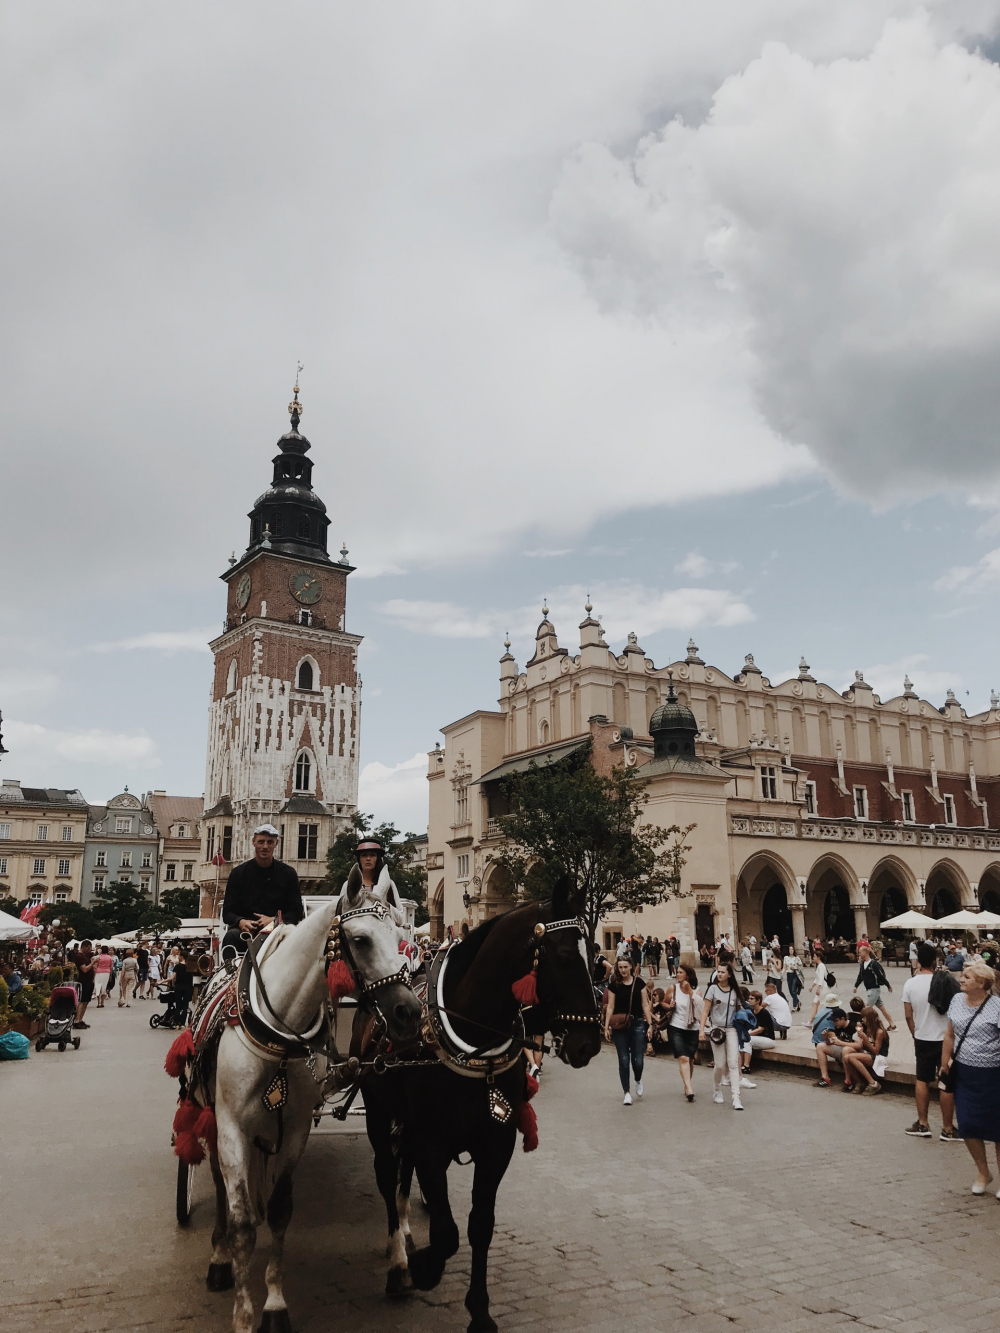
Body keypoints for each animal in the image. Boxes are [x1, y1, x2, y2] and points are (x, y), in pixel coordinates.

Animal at [204, 869, 424, 1327]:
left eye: (403, 938)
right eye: (360, 939)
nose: (410, 1014)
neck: (281, 1029)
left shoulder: (295, 1130)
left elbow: (280, 1210)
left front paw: (274, 1303)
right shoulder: (231, 1126)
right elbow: (241, 1224)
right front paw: (243, 1314)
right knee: (218, 1184)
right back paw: (218, 1258)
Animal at [360, 885, 602, 1333]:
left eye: (595, 954)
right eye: (562, 956)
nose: (588, 1045)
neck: (473, 1036)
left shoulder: (496, 1145)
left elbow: (479, 1226)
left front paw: (480, 1310)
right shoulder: (431, 1143)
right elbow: (447, 1232)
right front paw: (424, 1269)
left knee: (402, 1175)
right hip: (377, 1112)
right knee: (387, 1175)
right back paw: (399, 1260)